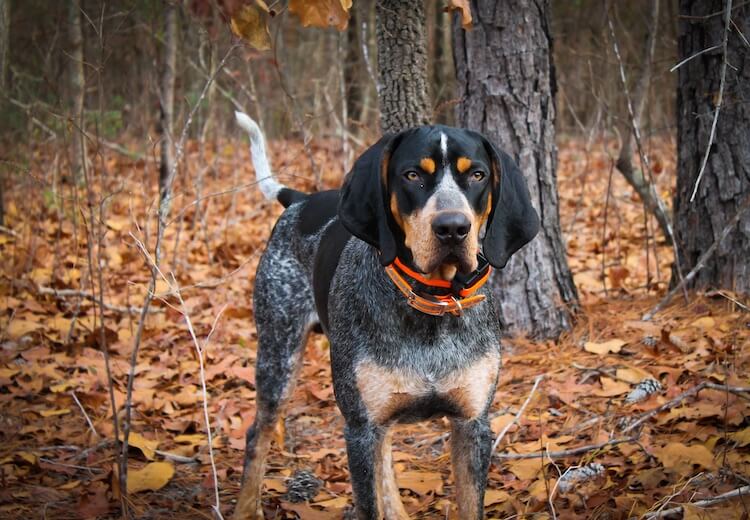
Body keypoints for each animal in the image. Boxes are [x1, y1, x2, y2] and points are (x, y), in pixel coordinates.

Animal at [232, 111, 536, 516]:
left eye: (477, 175)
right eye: (412, 175)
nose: (453, 228)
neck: (432, 306)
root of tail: (302, 200)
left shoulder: (472, 424)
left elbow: (469, 504)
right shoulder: (360, 428)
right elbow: (368, 502)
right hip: (278, 354)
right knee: (258, 433)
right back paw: (244, 507)